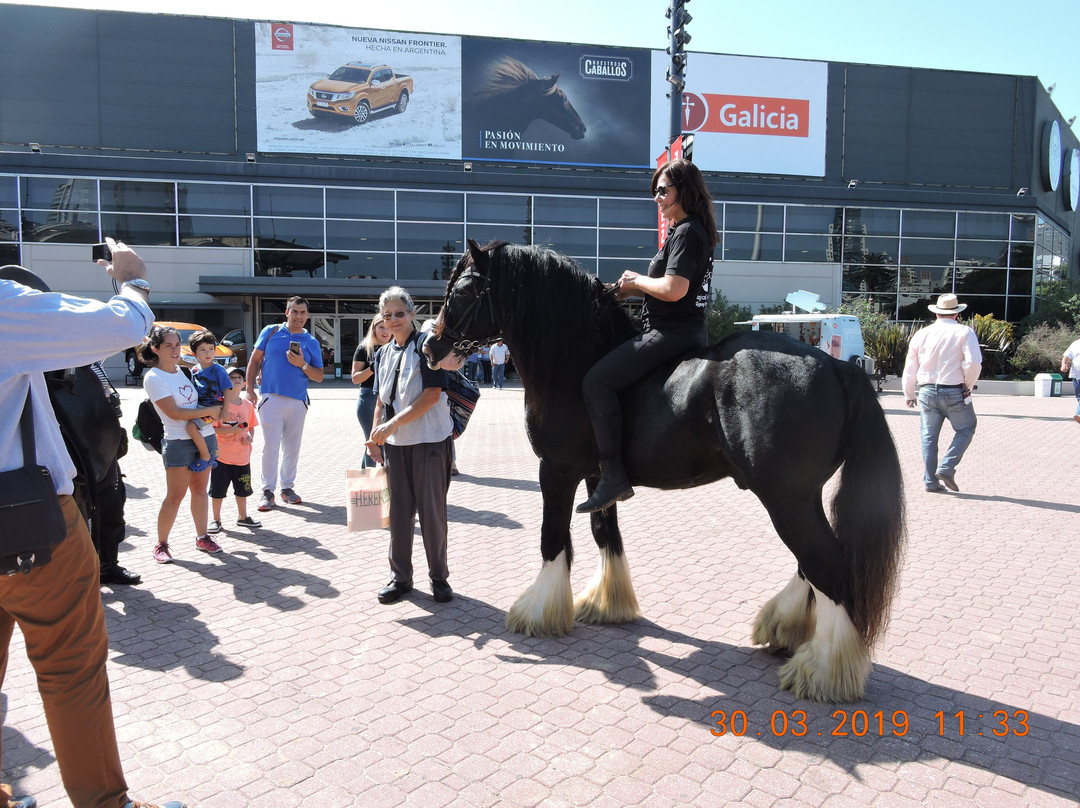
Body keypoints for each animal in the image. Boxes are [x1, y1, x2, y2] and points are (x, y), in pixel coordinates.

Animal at [425, 239, 907, 699]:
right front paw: (606, 604)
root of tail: (840, 368)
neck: (577, 361)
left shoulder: (557, 471)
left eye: (463, 291)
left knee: (827, 565)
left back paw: (822, 669)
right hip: (799, 499)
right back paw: (785, 629)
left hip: (787, 498)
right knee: (812, 564)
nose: (431, 347)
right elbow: (606, 536)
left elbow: (552, 539)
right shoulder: (599, 479)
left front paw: (537, 611)